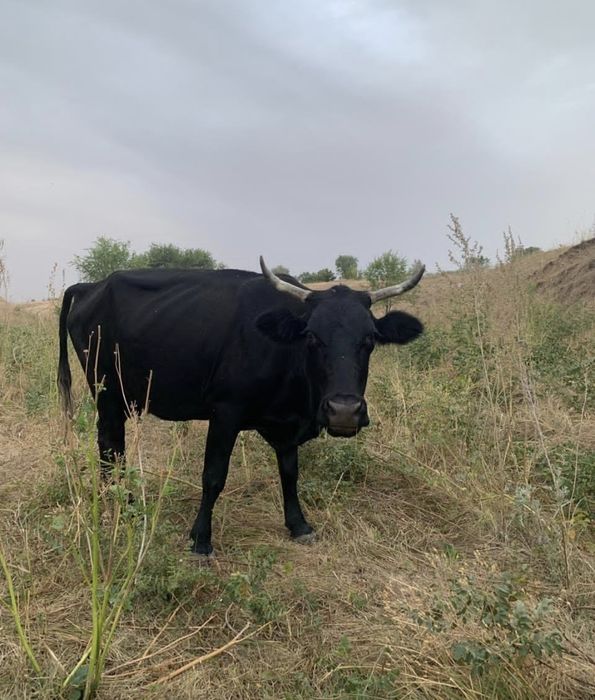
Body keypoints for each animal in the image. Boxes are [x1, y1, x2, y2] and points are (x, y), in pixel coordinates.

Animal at [57, 257, 424, 555]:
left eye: (370, 339)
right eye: (311, 337)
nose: (344, 411)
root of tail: (92, 286)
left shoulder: (286, 426)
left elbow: (290, 474)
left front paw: (299, 525)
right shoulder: (225, 412)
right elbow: (213, 476)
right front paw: (201, 539)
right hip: (106, 392)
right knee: (110, 448)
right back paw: (121, 507)